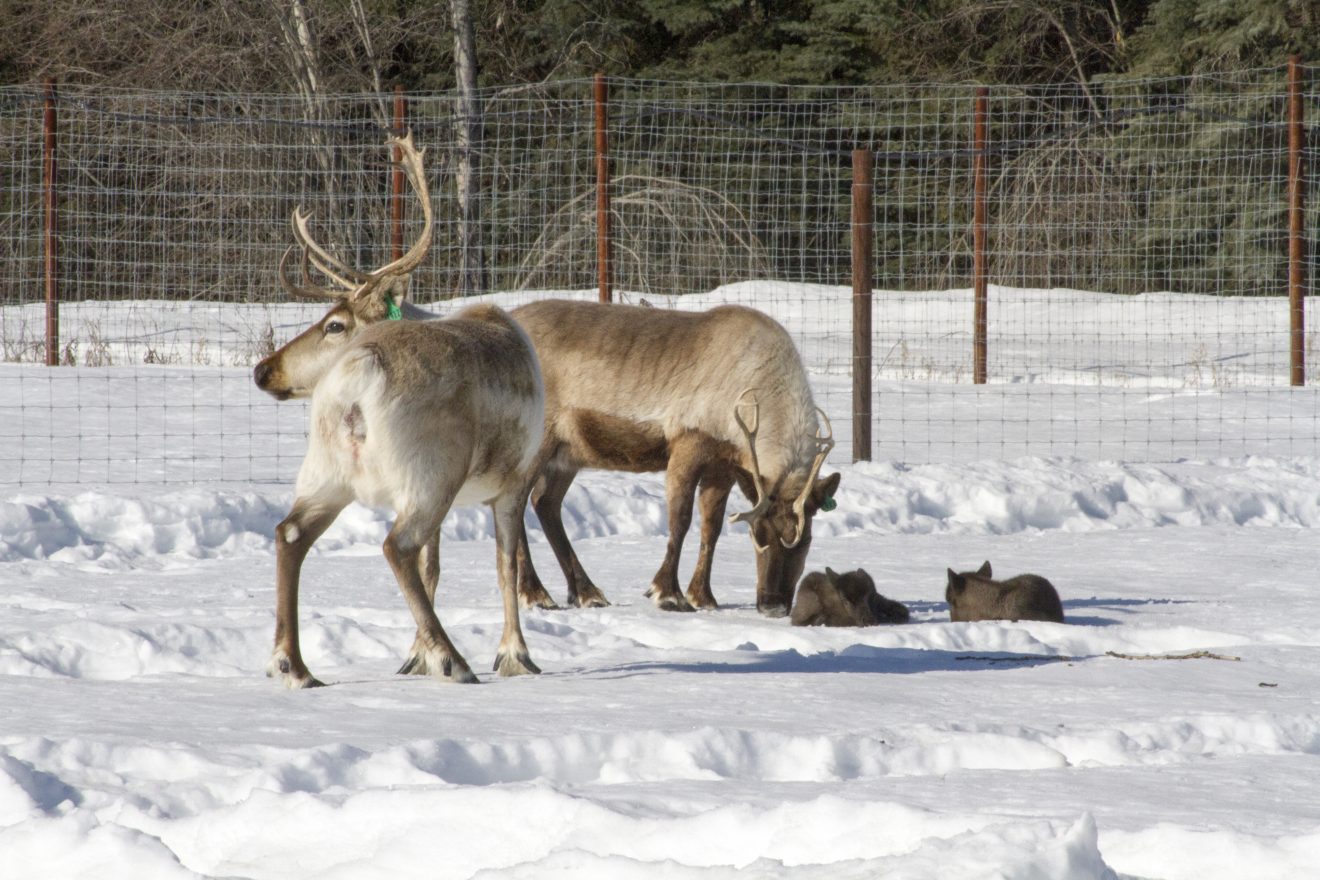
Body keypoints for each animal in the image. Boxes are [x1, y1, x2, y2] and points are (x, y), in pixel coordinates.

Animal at [252, 133, 545, 688]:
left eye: (335, 323)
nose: (262, 370)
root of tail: (358, 372)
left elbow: (439, 569)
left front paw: (415, 657)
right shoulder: (515, 479)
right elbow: (505, 566)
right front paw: (515, 655)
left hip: (327, 469)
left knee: (289, 533)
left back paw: (293, 664)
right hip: (432, 470)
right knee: (396, 546)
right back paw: (455, 660)